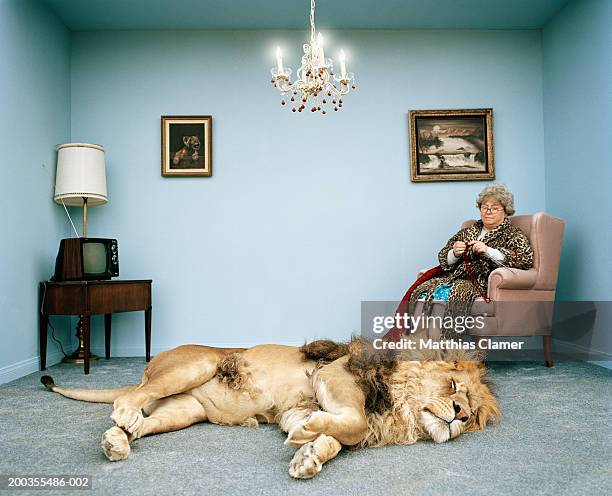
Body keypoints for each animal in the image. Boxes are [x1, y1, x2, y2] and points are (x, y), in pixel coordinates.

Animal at [38, 340, 500, 478]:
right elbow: (351, 422)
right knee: (126, 400)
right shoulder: (332, 374)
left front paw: (310, 455)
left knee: (145, 423)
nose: (459, 413)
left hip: (183, 412)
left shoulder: (300, 408)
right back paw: (123, 418)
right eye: (454, 386)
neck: (399, 410)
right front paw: (310, 437)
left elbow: (336, 438)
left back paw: (116, 441)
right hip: (196, 364)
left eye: (471, 414)